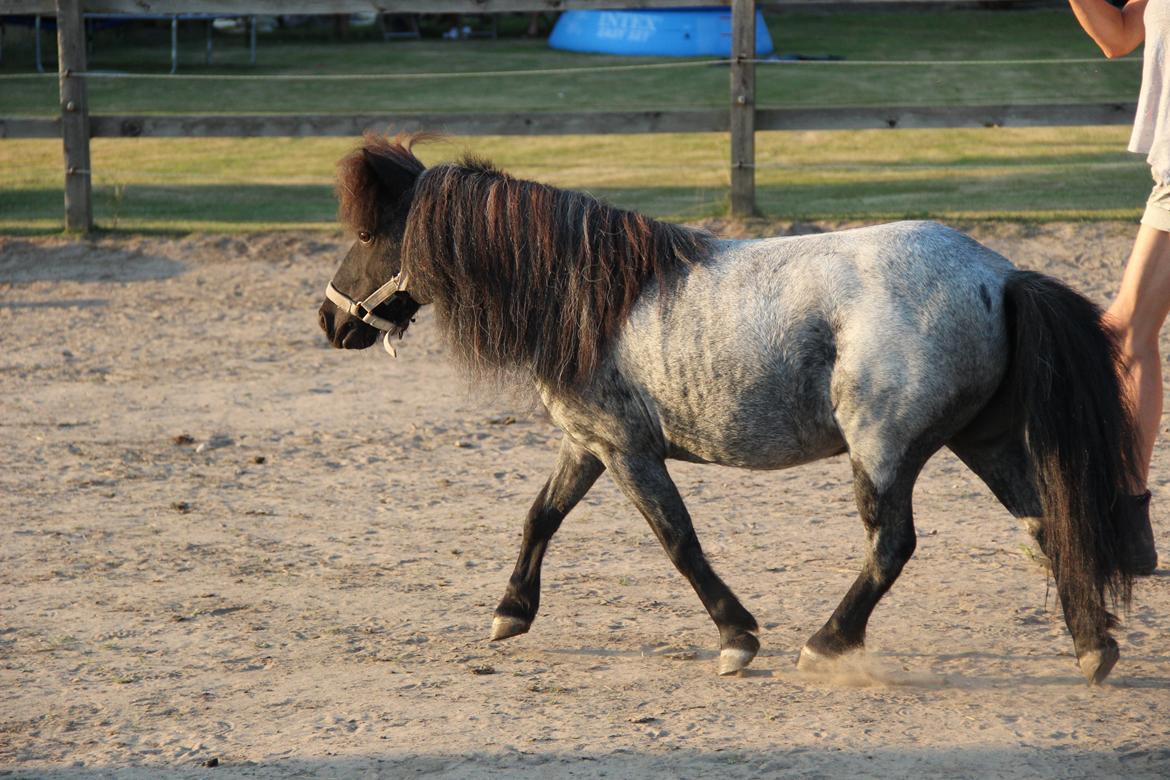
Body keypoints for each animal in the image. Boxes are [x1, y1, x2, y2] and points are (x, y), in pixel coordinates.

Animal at [320, 134, 1141, 682]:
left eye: (366, 232)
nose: (328, 321)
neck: (589, 293)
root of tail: (998, 276)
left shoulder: (628, 451)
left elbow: (679, 542)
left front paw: (737, 637)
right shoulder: (588, 444)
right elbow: (540, 516)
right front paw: (511, 610)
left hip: (881, 451)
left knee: (893, 546)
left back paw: (827, 643)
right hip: (986, 443)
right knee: (1047, 523)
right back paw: (1093, 647)